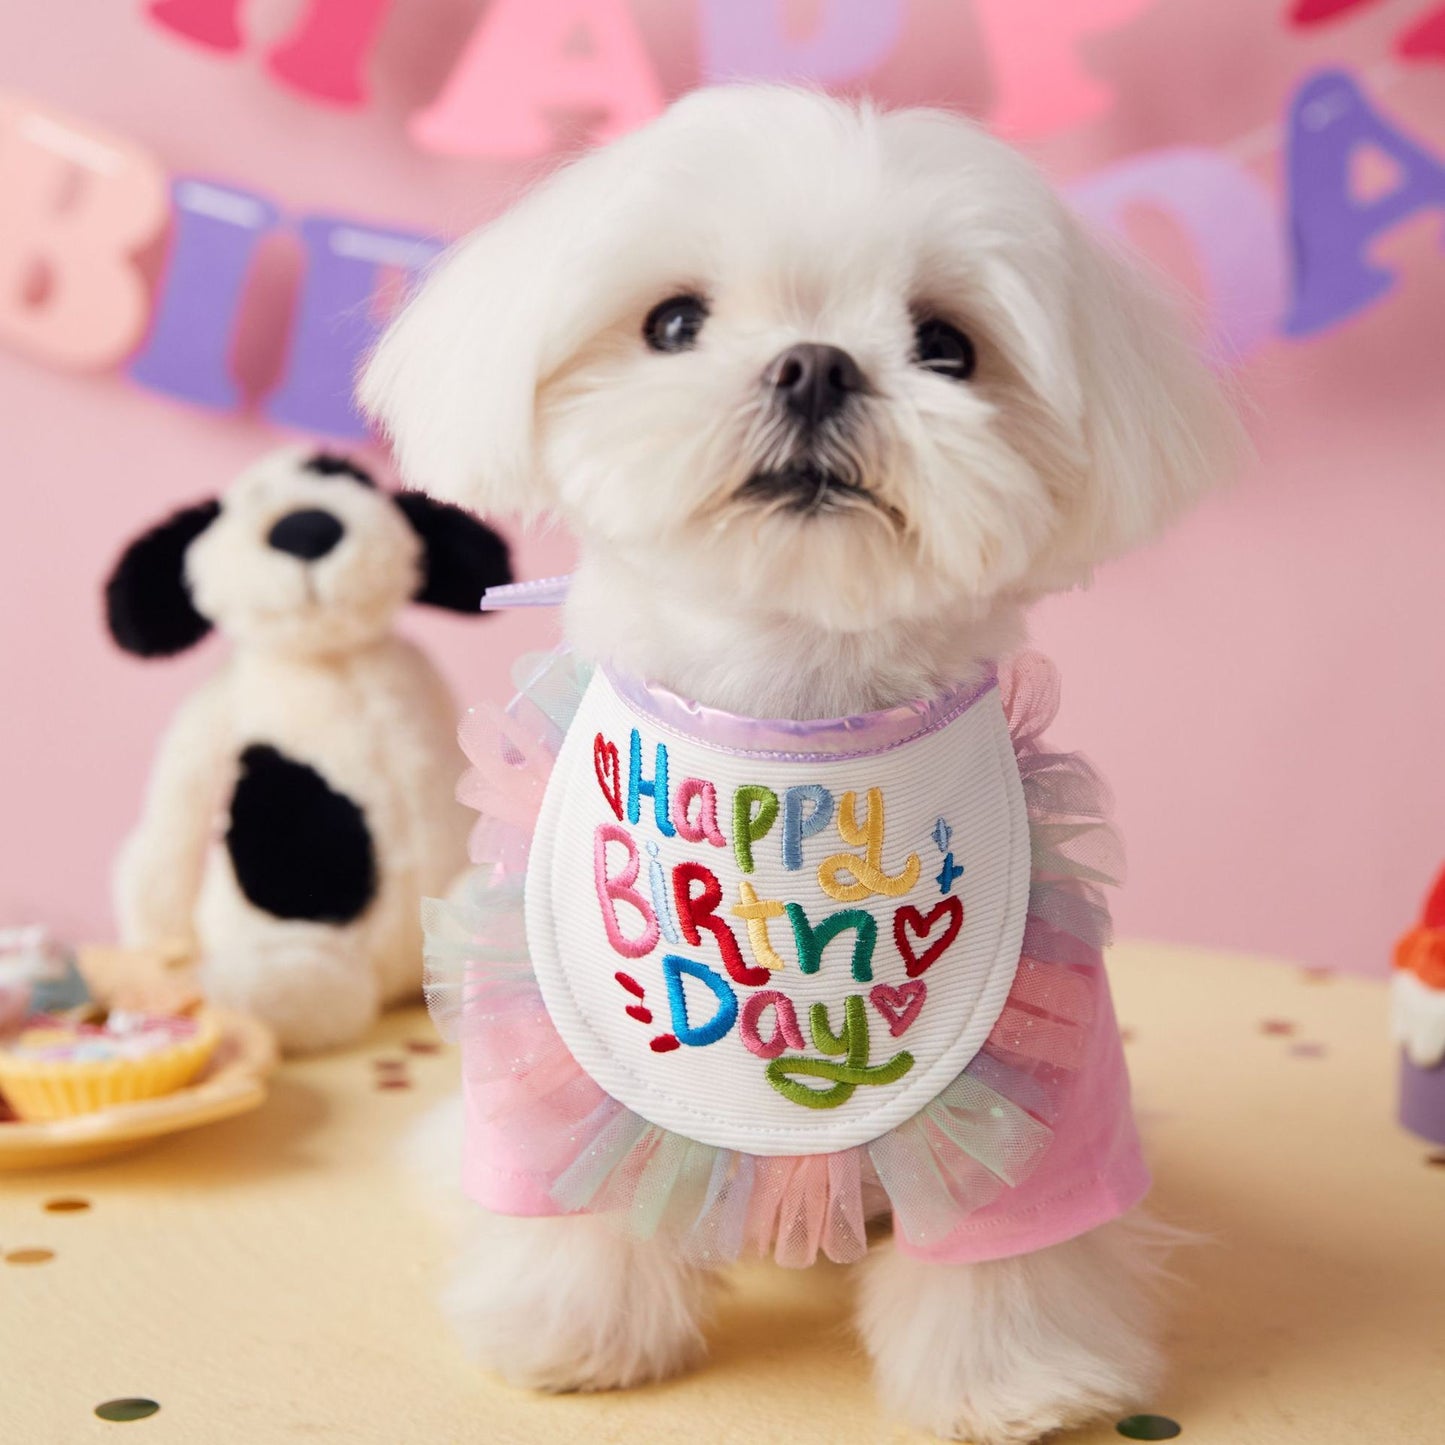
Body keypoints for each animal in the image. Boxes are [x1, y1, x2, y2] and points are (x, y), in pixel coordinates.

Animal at [364, 87, 1242, 1445]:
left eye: (945, 345)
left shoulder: (1041, 1077)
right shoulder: (543, 1053)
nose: (816, 361)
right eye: (673, 321)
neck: (794, 738)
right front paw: (569, 1330)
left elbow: (1004, 1245)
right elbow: (578, 1198)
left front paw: (1013, 1379)